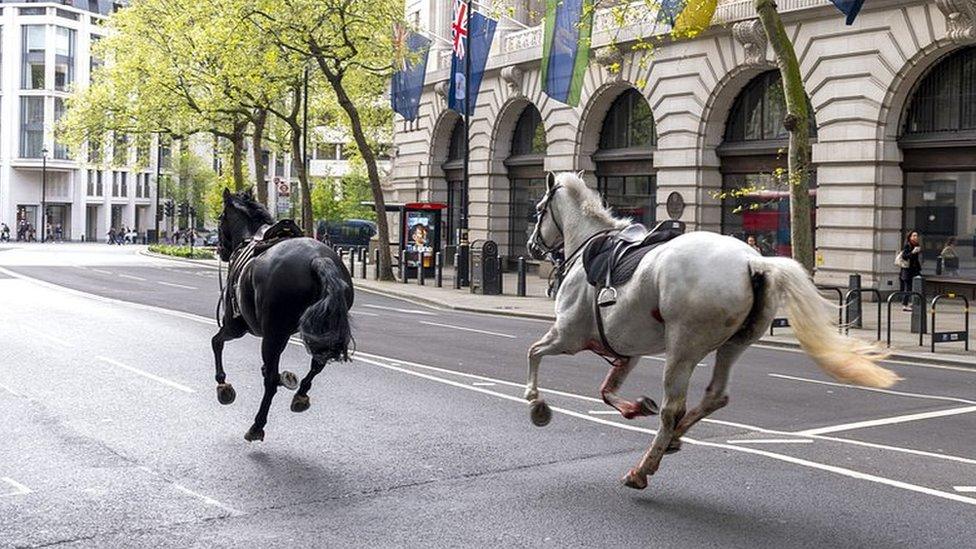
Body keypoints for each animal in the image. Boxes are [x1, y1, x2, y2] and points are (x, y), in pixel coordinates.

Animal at [214, 188, 354, 440]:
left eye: (221, 219)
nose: (221, 250)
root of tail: (318, 259)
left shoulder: (235, 326)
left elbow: (216, 342)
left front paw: (223, 385)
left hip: (271, 335)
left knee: (270, 381)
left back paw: (257, 426)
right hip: (317, 329)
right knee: (317, 363)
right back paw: (300, 395)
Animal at [524, 171, 896, 488]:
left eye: (539, 210)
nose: (531, 247)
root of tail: (755, 261)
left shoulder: (568, 335)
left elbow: (534, 352)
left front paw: (536, 403)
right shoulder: (627, 349)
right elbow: (606, 390)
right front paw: (634, 407)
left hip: (683, 348)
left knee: (673, 408)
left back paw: (643, 468)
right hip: (734, 343)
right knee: (714, 396)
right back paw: (673, 439)